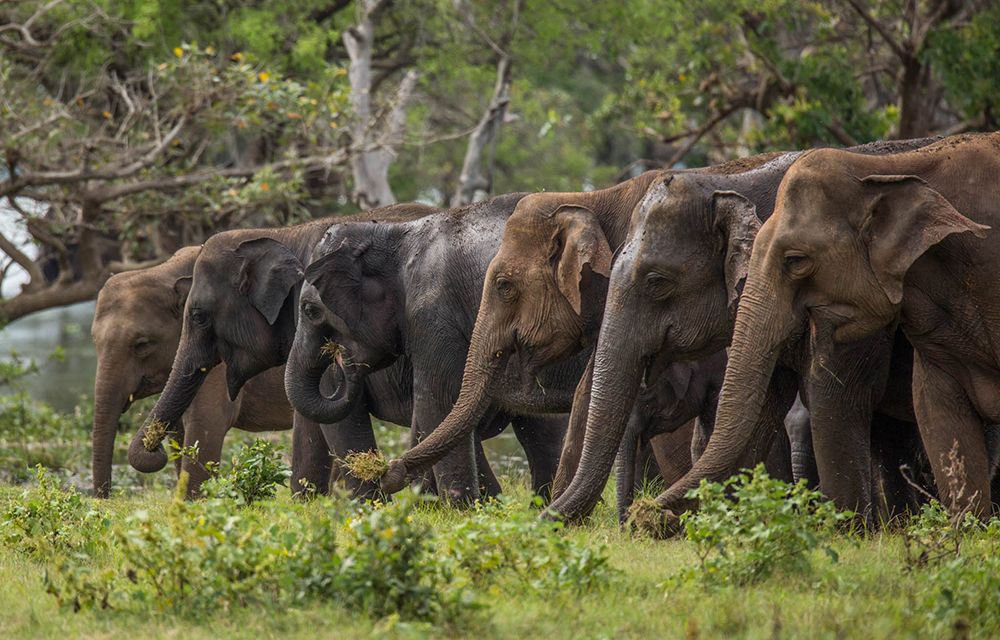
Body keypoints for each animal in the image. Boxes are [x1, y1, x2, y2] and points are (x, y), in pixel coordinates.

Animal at [91, 247, 324, 497]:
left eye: (142, 344)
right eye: (94, 341)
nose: (104, 499)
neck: (164, 271)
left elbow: (206, 424)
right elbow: (179, 432)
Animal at [286, 192, 567, 502]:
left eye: (310, 310)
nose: (343, 359)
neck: (392, 235)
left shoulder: (433, 315)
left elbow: (438, 402)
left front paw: (462, 508)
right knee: (544, 429)